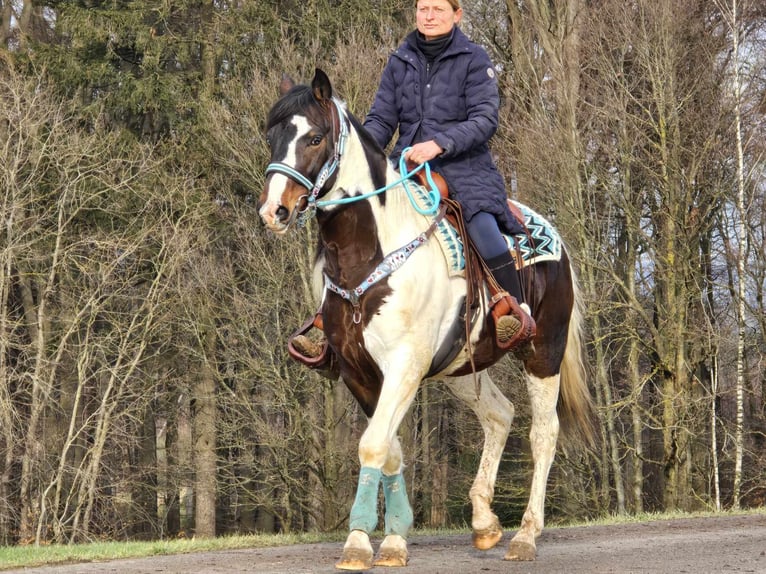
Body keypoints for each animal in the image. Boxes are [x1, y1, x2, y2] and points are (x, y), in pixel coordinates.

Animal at [258, 68, 592, 572]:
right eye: (273, 136)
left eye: (314, 137)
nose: (273, 210)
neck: (370, 255)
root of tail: (554, 237)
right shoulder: (359, 373)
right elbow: (389, 448)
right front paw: (390, 537)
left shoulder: (404, 365)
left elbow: (375, 444)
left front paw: (366, 543)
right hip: (461, 366)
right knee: (499, 415)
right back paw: (484, 523)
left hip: (543, 351)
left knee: (542, 433)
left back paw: (526, 535)